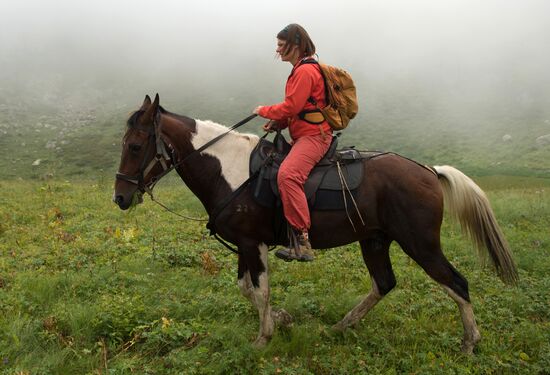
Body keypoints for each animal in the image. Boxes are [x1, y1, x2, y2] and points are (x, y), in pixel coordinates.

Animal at [114, 94, 520, 356]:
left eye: (135, 146)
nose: (120, 197)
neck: (229, 170)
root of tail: (429, 171)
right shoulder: (245, 244)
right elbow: (247, 289)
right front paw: (282, 320)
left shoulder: (251, 243)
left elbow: (259, 290)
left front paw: (264, 337)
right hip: (374, 240)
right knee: (384, 283)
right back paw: (342, 326)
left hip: (420, 243)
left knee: (456, 283)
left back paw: (469, 342)